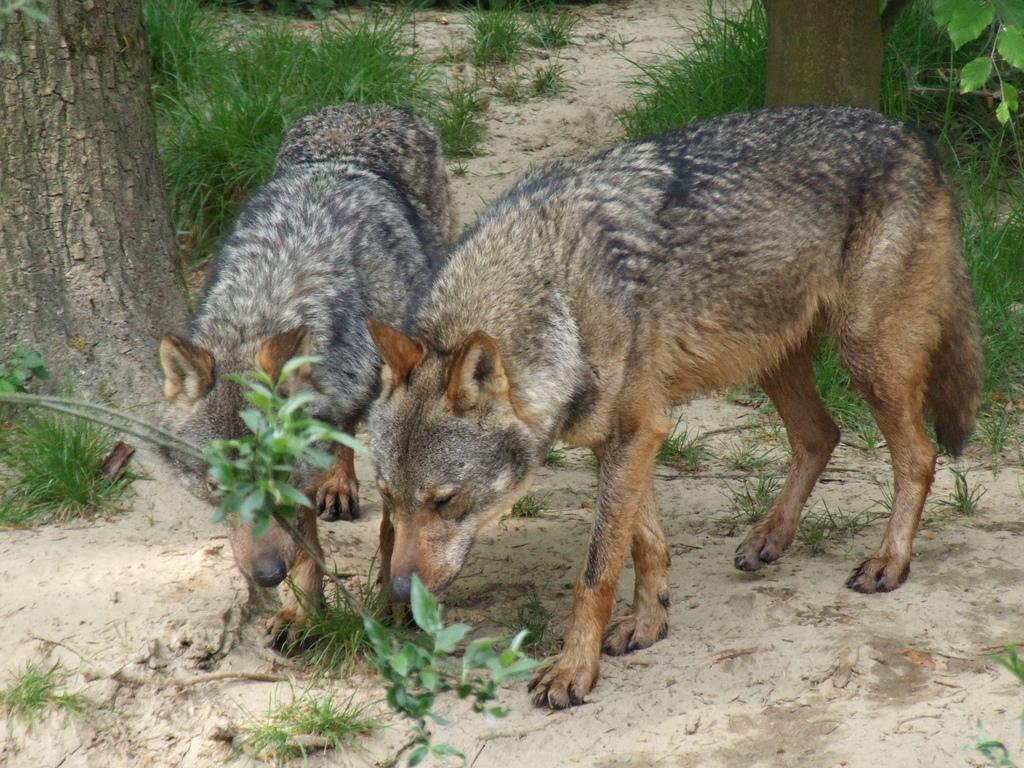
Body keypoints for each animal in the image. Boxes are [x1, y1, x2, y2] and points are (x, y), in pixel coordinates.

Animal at [159, 103, 453, 641]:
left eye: (276, 478)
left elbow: (394, 526)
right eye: (218, 487)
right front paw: (301, 612)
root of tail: (363, 106)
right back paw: (337, 486)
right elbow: (307, 544)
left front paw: (394, 604)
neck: (271, 294)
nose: (266, 575)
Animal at [364, 105, 983, 708]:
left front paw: (574, 670)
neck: (560, 297)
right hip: (772, 357)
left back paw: (890, 562)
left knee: (918, 455)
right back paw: (770, 537)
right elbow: (644, 546)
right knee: (820, 434)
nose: (397, 593)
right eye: (389, 498)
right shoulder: (626, 438)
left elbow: (596, 571)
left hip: (865, 354)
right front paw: (649, 624)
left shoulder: (636, 433)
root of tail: (913, 135)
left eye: (445, 501)